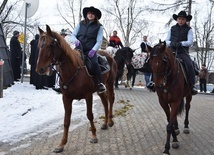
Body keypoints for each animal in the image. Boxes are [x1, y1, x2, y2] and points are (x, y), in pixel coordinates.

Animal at [36, 24, 118, 153]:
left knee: (110, 99)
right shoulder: (66, 98)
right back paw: (105, 124)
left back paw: (110, 121)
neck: (73, 70)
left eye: (50, 44)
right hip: (99, 89)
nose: (40, 69)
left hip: (109, 84)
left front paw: (94, 136)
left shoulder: (88, 96)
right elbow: (66, 121)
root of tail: (110, 55)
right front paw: (61, 144)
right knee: (105, 102)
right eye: (39, 45)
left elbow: (90, 115)